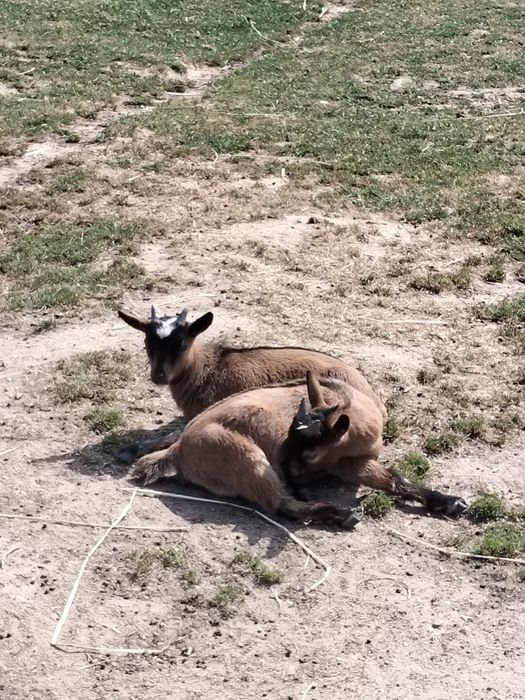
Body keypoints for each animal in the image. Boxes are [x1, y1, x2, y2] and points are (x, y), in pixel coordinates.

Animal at [130, 371, 467, 525]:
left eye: (310, 452)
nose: (293, 477)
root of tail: (180, 449)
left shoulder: (351, 463)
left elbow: (396, 479)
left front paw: (451, 502)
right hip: (248, 460)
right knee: (280, 505)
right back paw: (340, 514)